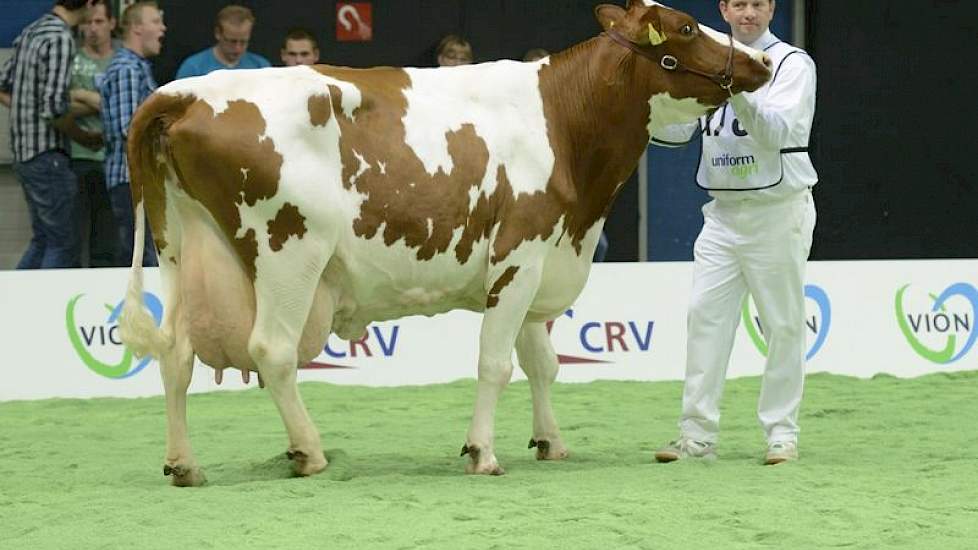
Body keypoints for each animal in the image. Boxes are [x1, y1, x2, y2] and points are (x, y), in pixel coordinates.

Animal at [118, 0, 768, 486]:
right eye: (687, 27)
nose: (761, 58)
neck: (562, 122)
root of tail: (184, 92)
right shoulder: (520, 253)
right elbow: (495, 363)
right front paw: (482, 452)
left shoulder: (538, 257)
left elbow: (542, 363)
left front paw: (550, 441)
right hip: (289, 249)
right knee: (271, 350)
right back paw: (309, 451)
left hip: (179, 246)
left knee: (175, 352)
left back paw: (184, 464)